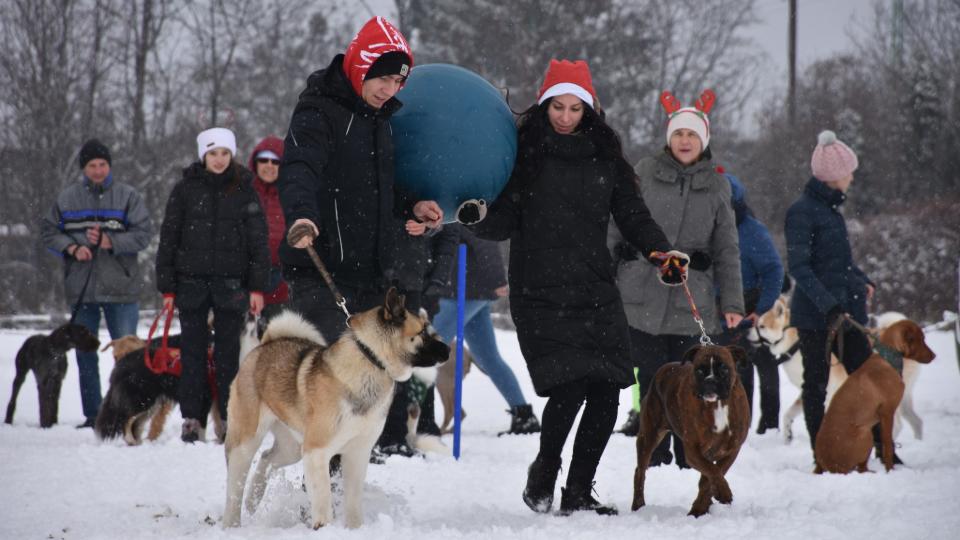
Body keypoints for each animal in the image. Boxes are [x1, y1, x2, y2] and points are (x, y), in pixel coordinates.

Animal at [632, 344, 752, 516]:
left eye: (724, 369)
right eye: (700, 371)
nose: (710, 381)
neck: (718, 405)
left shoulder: (732, 449)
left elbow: (713, 475)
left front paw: (701, 507)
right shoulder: (693, 451)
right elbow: (713, 471)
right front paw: (721, 494)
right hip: (649, 436)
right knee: (640, 472)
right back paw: (638, 504)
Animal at [812, 318, 932, 474]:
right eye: (922, 339)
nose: (934, 356)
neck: (888, 359)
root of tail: (823, 462)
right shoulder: (887, 412)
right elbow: (888, 446)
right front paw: (890, 470)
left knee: (862, 467)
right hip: (865, 433)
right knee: (857, 470)